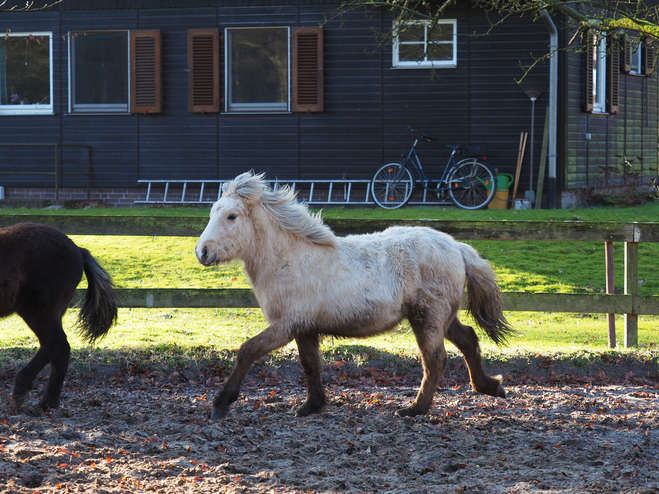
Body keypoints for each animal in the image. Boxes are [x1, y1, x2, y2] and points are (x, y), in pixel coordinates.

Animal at [0, 223, 117, 410]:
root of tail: (79, 250)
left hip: (37, 310)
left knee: (55, 343)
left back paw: (25, 391)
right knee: (60, 348)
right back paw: (49, 401)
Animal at [193, 172, 512, 418]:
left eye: (232, 216)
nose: (202, 252)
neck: (289, 259)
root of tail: (457, 247)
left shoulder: (285, 326)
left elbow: (247, 351)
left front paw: (221, 404)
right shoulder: (304, 328)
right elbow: (310, 365)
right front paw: (311, 406)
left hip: (428, 318)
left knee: (435, 360)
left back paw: (414, 409)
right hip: (443, 316)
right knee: (469, 339)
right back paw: (491, 386)